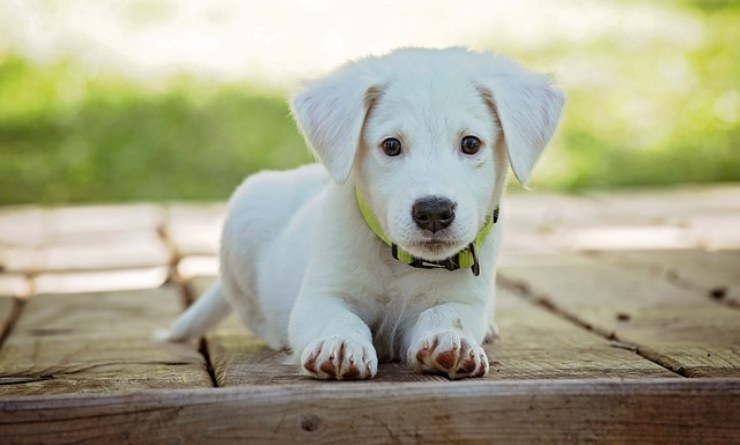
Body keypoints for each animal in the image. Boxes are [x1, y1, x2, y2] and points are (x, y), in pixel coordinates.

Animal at [166, 46, 560, 378]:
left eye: (471, 143)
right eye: (391, 146)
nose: (434, 211)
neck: (400, 263)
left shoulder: (464, 300)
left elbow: (447, 314)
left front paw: (452, 341)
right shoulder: (321, 295)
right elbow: (339, 318)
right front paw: (340, 344)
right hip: (243, 220)